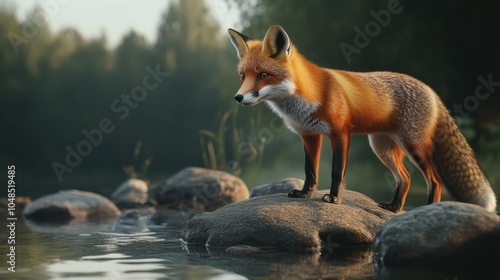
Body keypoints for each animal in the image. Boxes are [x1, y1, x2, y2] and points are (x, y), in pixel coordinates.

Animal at [229, 24, 496, 212]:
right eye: (243, 76)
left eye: (263, 75)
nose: (238, 97)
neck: (306, 96)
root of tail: (430, 90)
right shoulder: (309, 135)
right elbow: (310, 171)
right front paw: (305, 194)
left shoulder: (340, 133)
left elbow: (337, 172)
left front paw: (333, 198)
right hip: (382, 148)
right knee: (406, 178)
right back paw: (394, 208)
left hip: (414, 147)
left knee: (435, 180)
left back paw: (428, 211)